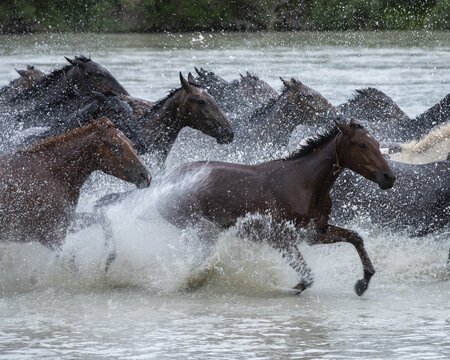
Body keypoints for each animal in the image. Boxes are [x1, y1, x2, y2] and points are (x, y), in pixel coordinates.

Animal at [0, 116, 151, 249]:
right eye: (115, 146)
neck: (52, 174)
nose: (146, 176)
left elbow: (103, 219)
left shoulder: (67, 223)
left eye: (131, 144)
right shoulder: (51, 235)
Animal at [157, 120, 394, 296]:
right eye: (362, 145)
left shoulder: (314, 233)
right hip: (197, 227)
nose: (389, 177)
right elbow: (308, 276)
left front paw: (363, 282)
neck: (303, 184)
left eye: (376, 143)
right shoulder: (281, 238)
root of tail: (163, 182)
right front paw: (291, 288)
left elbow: (355, 237)